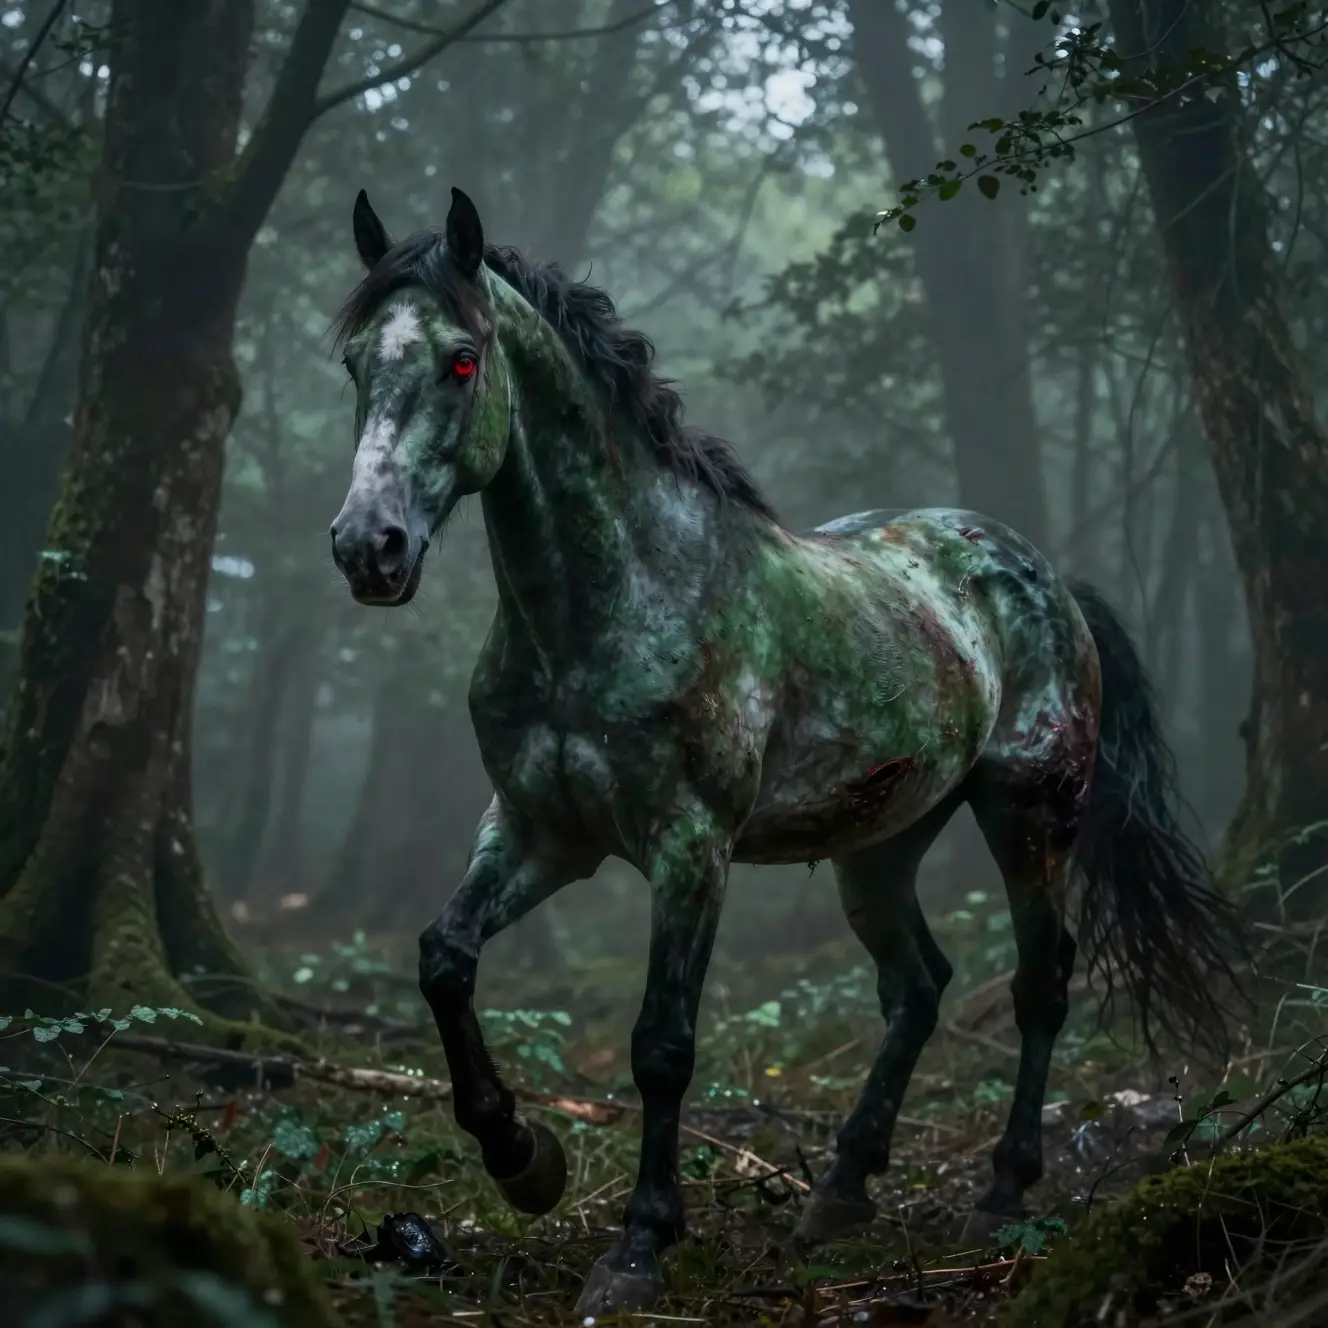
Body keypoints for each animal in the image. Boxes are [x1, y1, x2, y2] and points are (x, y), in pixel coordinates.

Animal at [326, 186, 1244, 1315]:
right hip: (878, 845)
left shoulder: (690, 848)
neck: (613, 602)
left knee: (1041, 981)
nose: (367, 548)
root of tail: (1045, 575)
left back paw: (999, 1190)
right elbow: (443, 959)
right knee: (919, 985)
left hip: (1030, 813)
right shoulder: (539, 831)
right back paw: (841, 1188)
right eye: (354, 363)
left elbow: (662, 1044)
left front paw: (638, 1244)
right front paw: (523, 1158)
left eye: (461, 361)